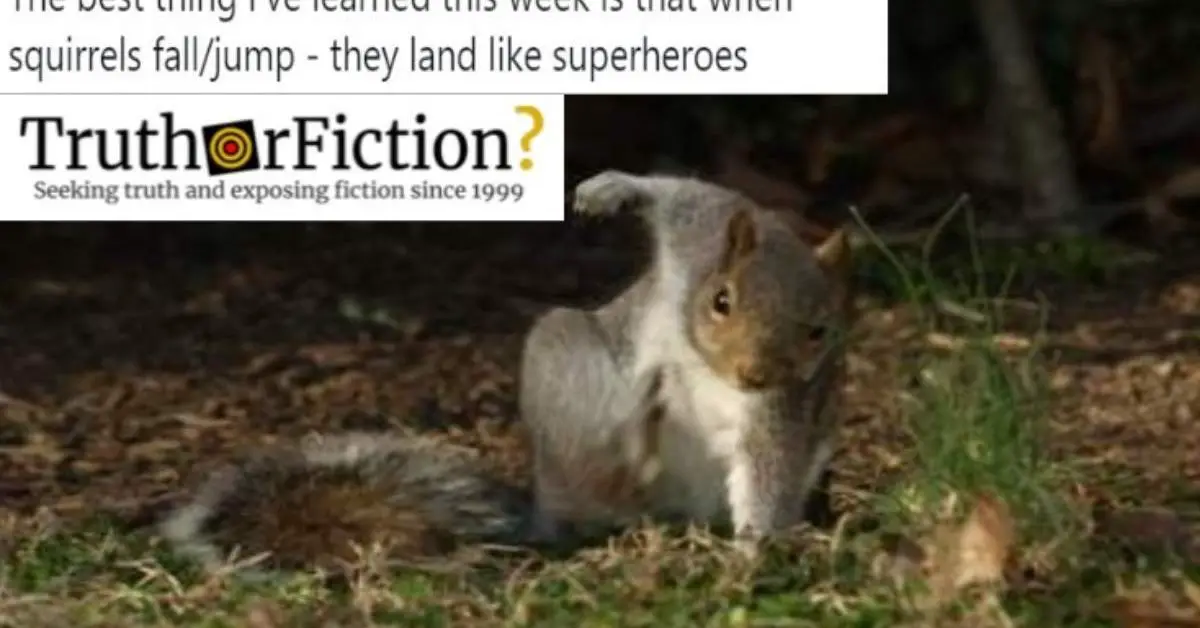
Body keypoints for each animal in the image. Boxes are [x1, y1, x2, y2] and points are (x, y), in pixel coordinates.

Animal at [520, 170, 854, 556]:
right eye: (721, 300)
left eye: (819, 332)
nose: (753, 373)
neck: (710, 370)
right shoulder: (697, 238)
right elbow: (685, 196)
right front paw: (611, 190)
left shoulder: (781, 406)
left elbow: (769, 470)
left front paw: (753, 549)